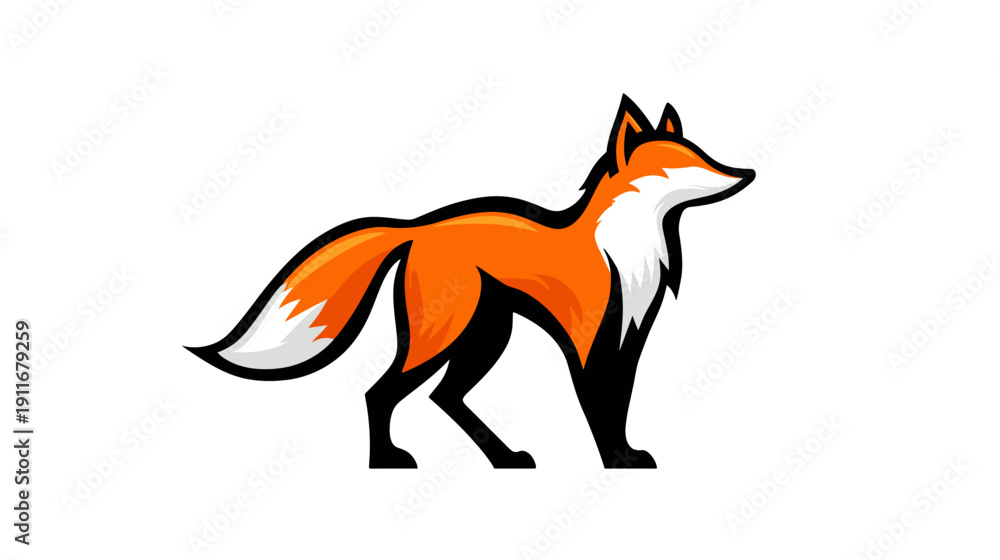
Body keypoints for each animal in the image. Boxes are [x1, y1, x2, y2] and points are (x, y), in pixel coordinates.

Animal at [188, 95, 755, 469]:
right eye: (683, 162)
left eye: (703, 153)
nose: (746, 174)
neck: (623, 247)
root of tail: (417, 226)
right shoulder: (588, 341)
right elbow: (598, 406)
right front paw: (613, 461)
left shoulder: (629, 341)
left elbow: (621, 403)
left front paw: (626, 454)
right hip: (444, 334)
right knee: (381, 392)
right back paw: (388, 460)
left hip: (486, 333)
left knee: (443, 398)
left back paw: (503, 458)